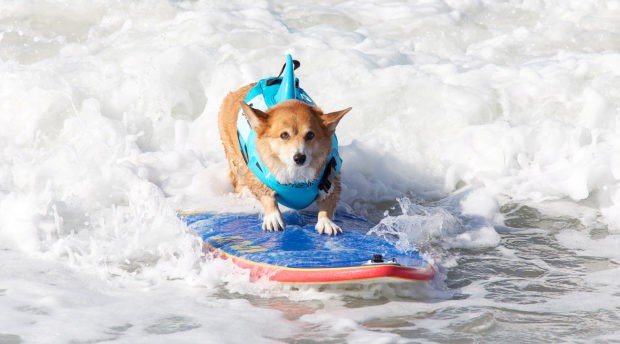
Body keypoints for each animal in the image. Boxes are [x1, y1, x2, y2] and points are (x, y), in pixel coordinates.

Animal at [219, 55, 352, 235]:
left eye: (310, 135)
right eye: (284, 135)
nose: (299, 158)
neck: (296, 178)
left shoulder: (331, 180)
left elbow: (328, 203)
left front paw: (326, 222)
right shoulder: (257, 179)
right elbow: (267, 196)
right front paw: (273, 217)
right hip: (235, 158)